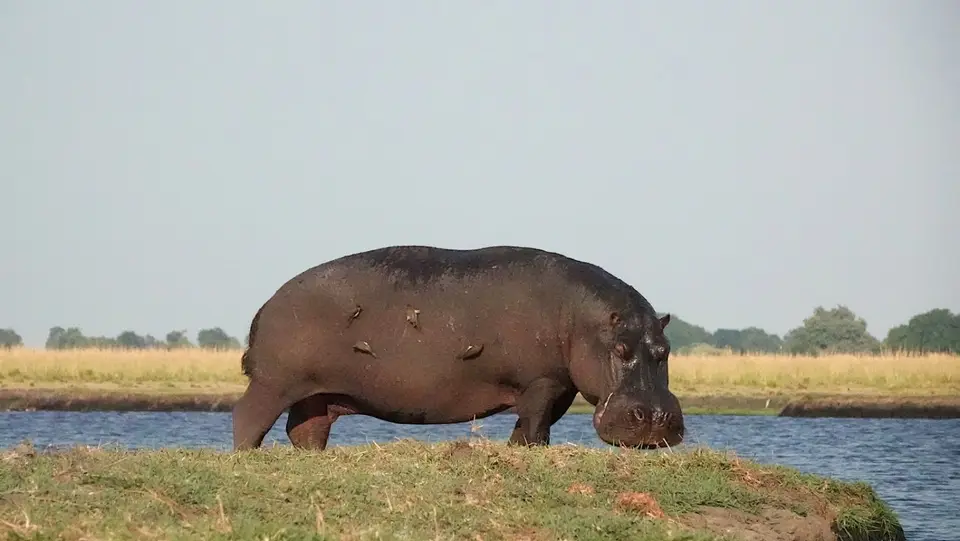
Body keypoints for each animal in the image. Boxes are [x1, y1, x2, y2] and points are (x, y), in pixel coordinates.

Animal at [232, 245, 683, 451]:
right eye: (620, 350)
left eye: (664, 350)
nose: (655, 417)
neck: (584, 322)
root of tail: (265, 305)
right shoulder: (541, 383)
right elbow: (536, 424)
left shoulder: (558, 385)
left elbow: (530, 427)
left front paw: (518, 451)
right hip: (273, 384)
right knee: (248, 418)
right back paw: (246, 455)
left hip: (317, 395)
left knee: (305, 429)